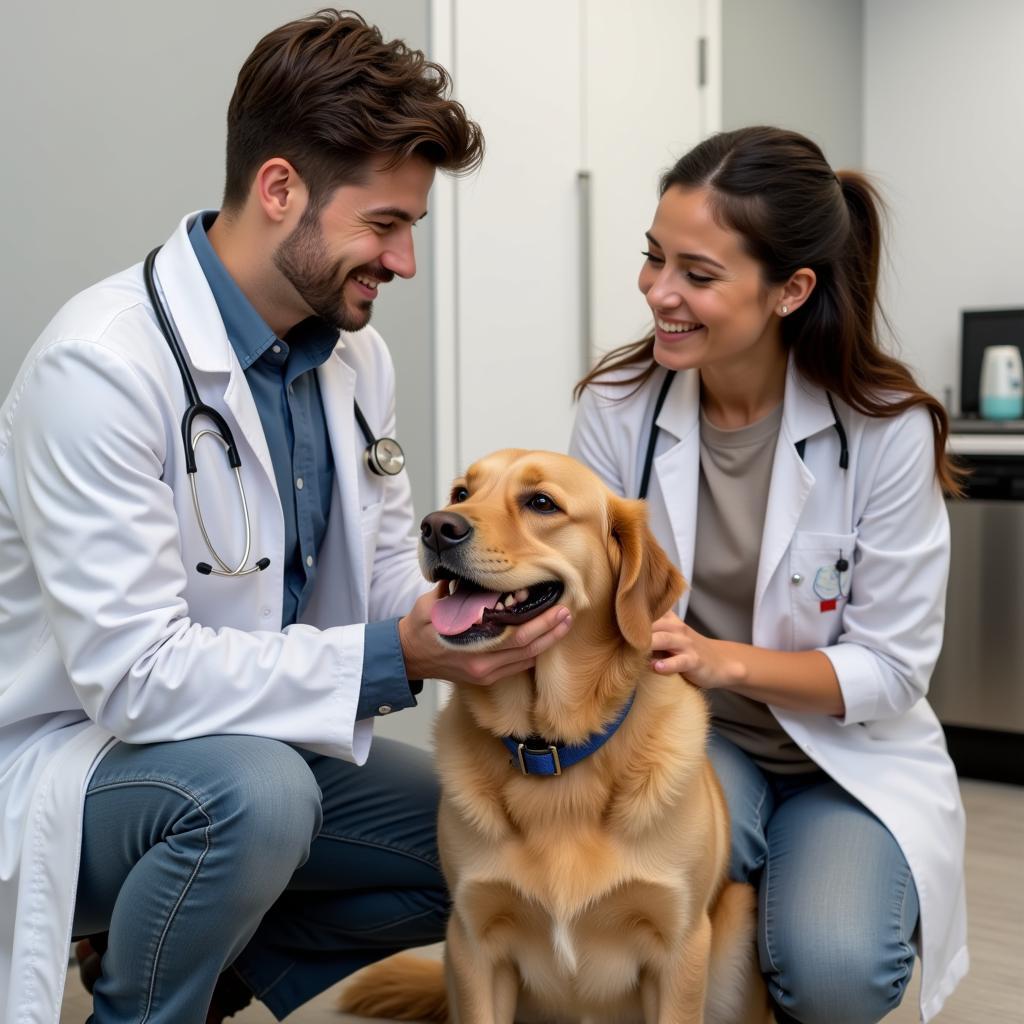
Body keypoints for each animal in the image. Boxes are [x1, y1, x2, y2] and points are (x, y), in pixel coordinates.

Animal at [339, 450, 770, 1024]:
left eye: (541, 502)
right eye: (461, 494)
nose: (436, 527)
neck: (549, 747)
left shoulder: (678, 947)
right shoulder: (473, 942)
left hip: (737, 917)